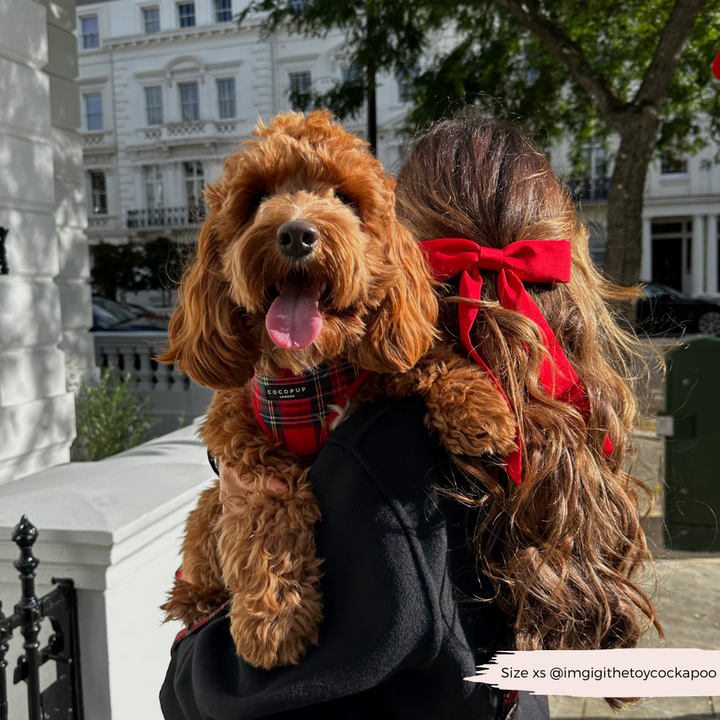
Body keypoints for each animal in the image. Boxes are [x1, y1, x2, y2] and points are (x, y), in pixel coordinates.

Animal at [160, 111, 516, 668]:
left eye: (346, 199)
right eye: (258, 197)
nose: (296, 233)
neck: (308, 377)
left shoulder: (381, 366)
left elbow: (428, 357)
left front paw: (479, 411)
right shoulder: (238, 439)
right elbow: (266, 514)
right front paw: (275, 617)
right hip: (207, 511)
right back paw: (196, 600)